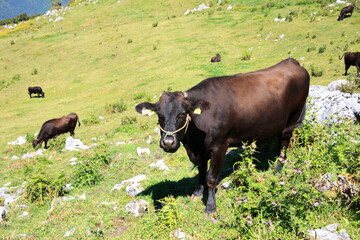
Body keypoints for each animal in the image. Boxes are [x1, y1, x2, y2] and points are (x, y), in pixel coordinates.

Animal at [135, 59, 310, 215]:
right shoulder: (200, 150)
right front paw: (198, 192)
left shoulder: (220, 146)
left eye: (182, 114)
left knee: (284, 144)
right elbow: (201, 170)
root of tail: (292, 62)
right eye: (159, 115)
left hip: (292, 120)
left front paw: (210, 206)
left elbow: (211, 177)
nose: (168, 142)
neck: (194, 143)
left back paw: (278, 168)